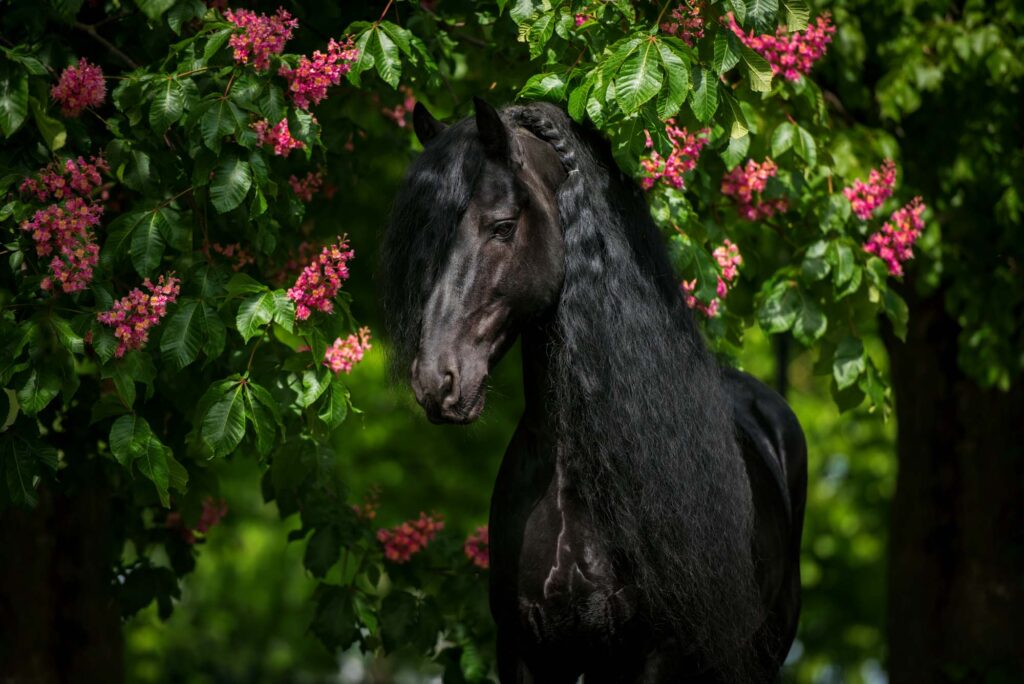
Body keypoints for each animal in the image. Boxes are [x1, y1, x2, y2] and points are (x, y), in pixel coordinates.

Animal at [380, 98, 807, 683]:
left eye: (503, 226)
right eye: (427, 236)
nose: (436, 380)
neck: (570, 480)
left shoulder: (650, 656)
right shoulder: (528, 652)